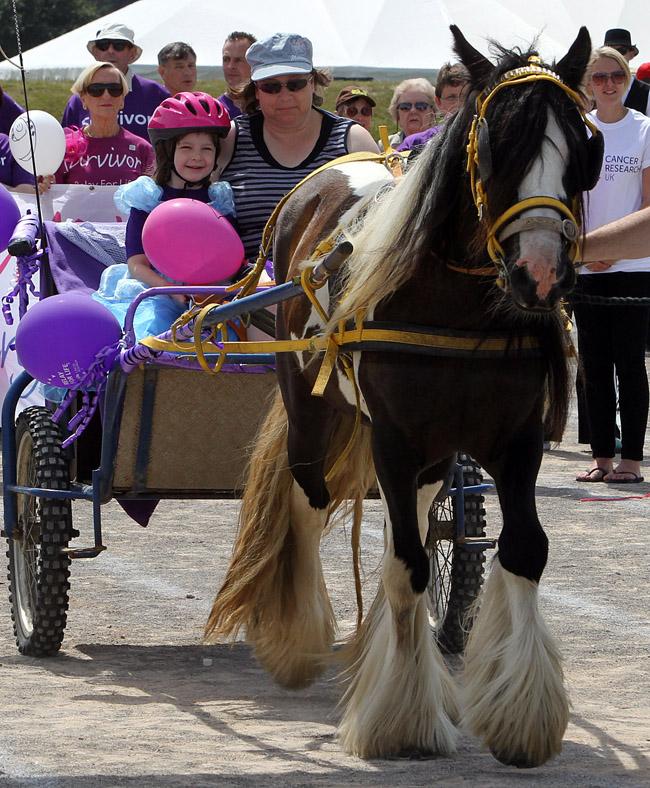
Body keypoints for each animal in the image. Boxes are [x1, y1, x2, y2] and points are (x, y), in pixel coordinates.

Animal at [204, 27, 604, 768]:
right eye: (496, 146)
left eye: (582, 148)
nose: (538, 275)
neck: (456, 307)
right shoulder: (393, 436)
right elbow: (408, 566)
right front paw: (403, 721)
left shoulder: (514, 442)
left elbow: (520, 549)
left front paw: (519, 717)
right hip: (314, 409)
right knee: (309, 501)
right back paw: (299, 640)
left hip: (431, 454)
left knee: (406, 522)